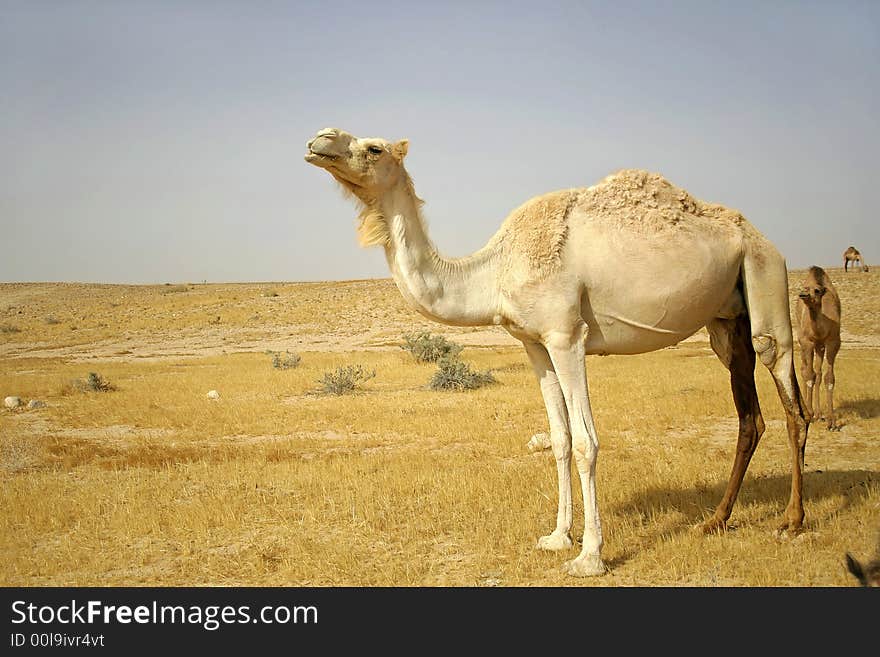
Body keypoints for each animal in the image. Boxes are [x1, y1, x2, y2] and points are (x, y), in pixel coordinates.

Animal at [304, 127, 812, 576]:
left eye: (374, 147)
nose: (319, 139)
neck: (494, 271)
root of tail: (762, 238)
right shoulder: (533, 342)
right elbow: (560, 437)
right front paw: (557, 537)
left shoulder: (567, 335)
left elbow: (586, 441)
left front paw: (589, 557)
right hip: (727, 318)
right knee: (750, 416)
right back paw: (715, 520)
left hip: (765, 276)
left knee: (791, 400)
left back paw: (792, 521)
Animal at [796, 266, 844, 430]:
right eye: (805, 288)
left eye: (817, 291)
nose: (802, 294)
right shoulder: (807, 342)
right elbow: (809, 375)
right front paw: (809, 414)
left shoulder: (833, 342)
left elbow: (829, 377)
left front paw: (832, 422)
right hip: (804, 343)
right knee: (804, 370)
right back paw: (810, 412)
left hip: (820, 347)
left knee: (818, 373)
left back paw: (819, 414)